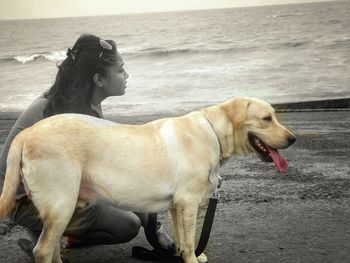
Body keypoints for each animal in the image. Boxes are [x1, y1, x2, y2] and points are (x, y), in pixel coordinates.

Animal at [0, 97, 296, 263]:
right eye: (267, 118)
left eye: (275, 116)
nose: (293, 139)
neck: (212, 133)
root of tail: (26, 133)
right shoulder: (188, 203)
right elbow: (190, 241)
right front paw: (193, 259)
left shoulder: (177, 206)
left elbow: (182, 241)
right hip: (62, 205)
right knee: (42, 250)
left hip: (66, 208)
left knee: (51, 249)